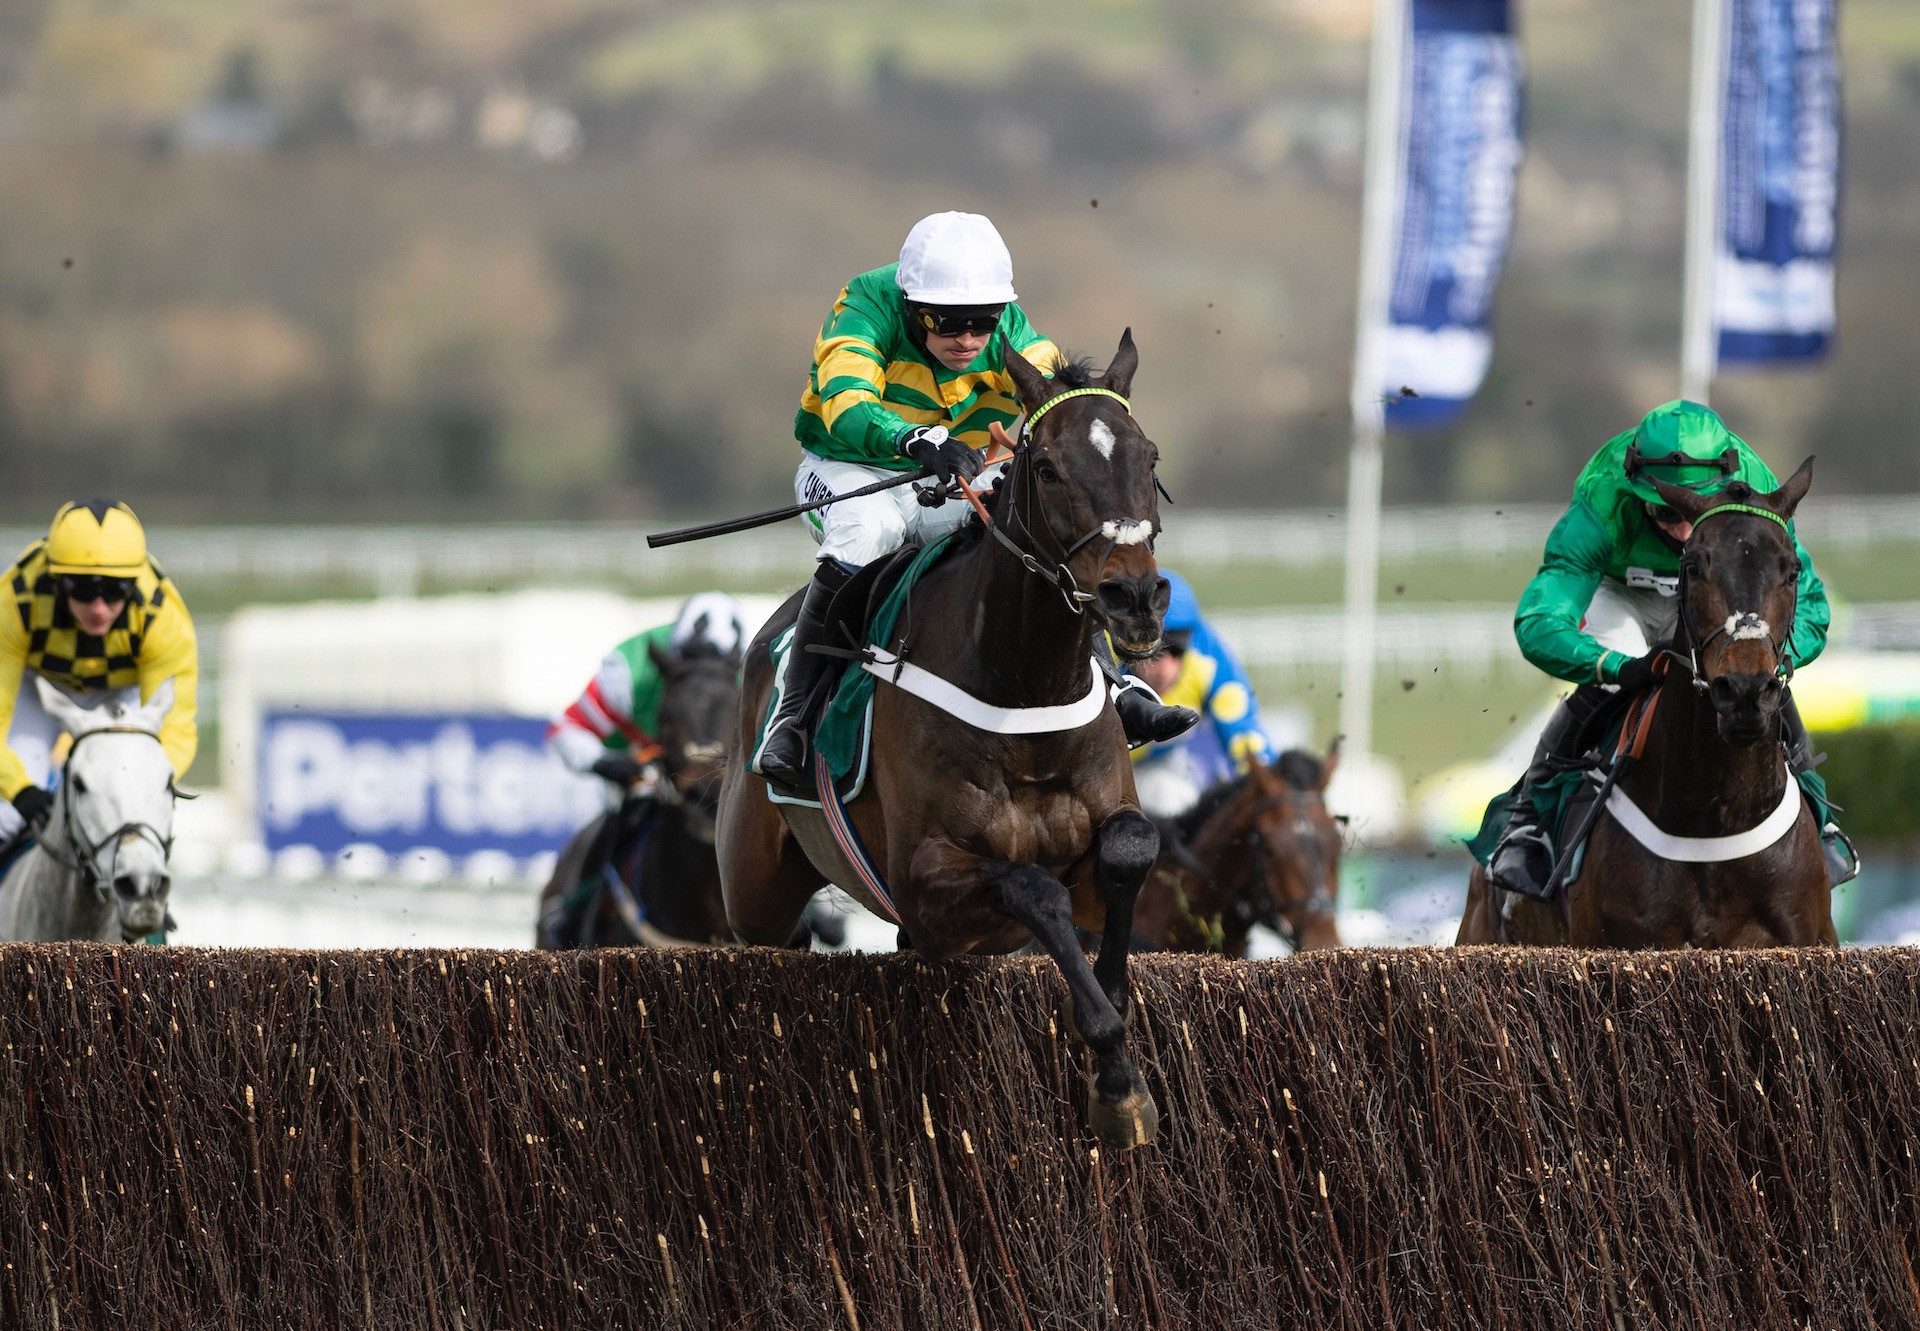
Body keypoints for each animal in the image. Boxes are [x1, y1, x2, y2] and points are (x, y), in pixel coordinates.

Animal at [718, 330, 1167, 1144]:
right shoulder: (922, 891)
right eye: (1048, 467)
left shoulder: (1097, 852)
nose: (1136, 597)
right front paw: (1119, 1083)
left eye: (1147, 458)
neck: (1024, 700)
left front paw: (1113, 1031)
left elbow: (1128, 848)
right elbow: (1031, 884)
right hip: (752, 886)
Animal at [1459, 462, 1835, 948]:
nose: (1745, 691)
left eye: (1792, 572)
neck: (1717, 820)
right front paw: (1641, 668)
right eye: (1693, 568)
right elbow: (1540, 620)